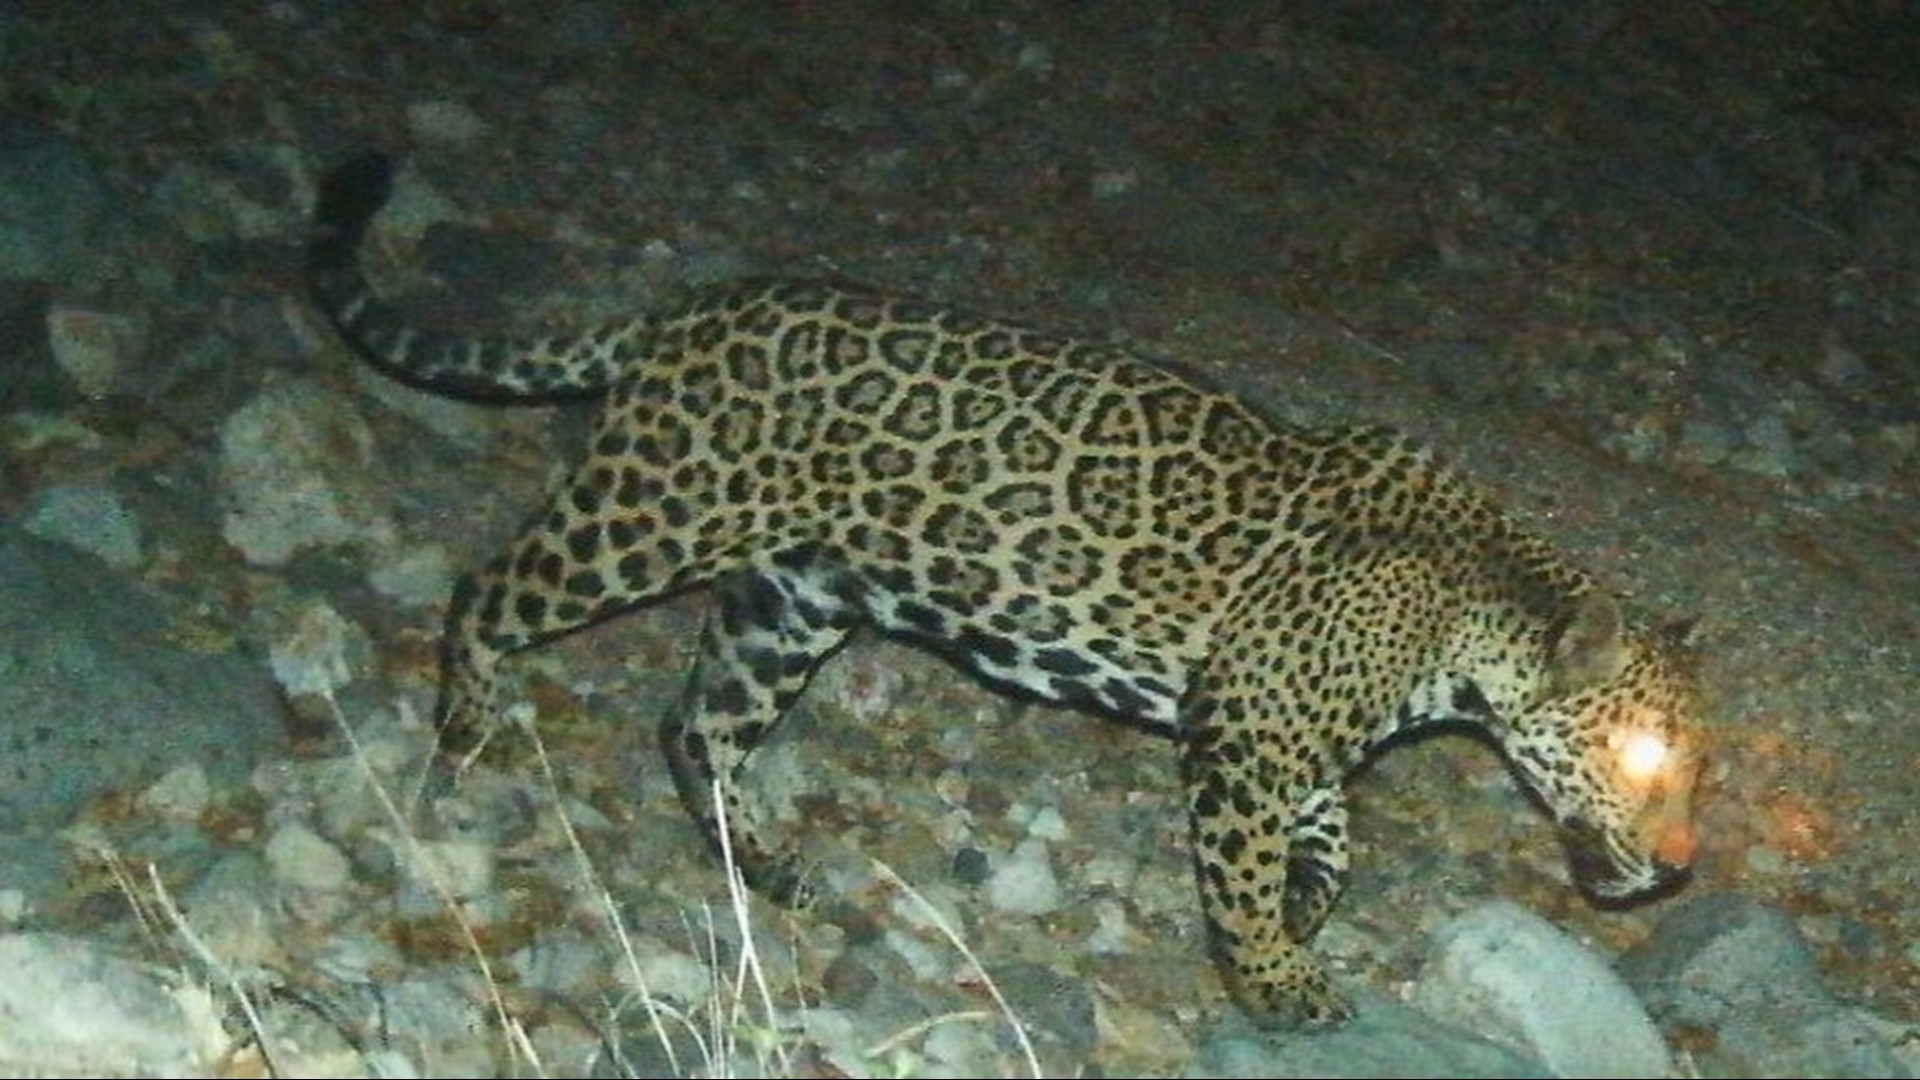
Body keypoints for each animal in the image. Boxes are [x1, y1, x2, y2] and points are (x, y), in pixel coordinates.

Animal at [305, 152, 1706, 1028]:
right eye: (1643, 762)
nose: (1682, 862)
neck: (1476, 615)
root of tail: (688, 310)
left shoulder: (1288, 738)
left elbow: (1333, 840)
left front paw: (1304, 912)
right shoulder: (1249, 733)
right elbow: (1251, 865)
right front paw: (1273, 977)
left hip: (796, 601)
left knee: (694, 725)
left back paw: (768, 868)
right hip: (655, 513)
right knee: (492, 588)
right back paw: (466, 726)